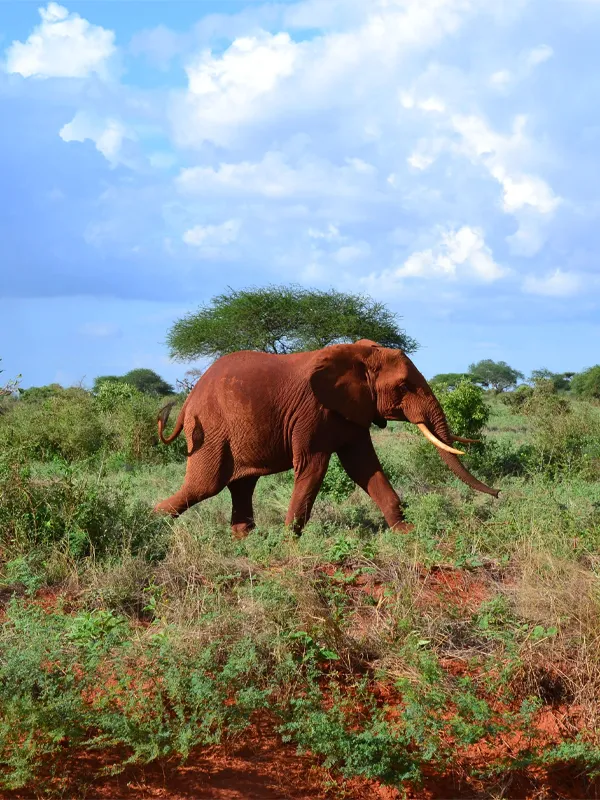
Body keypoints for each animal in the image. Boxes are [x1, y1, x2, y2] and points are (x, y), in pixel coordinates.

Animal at [152, 340, 500, 536]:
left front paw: (407, 532)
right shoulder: (313, 411)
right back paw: (150, 525)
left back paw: (246, 539)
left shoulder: (353, 409)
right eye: (403, 387)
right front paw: (289, 544)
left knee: (241, 484)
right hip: (211, 429)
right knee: (205, 485)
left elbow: (364, 467)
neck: (358, 354)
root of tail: (188, 399)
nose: (498, 494)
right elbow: (313, 467)